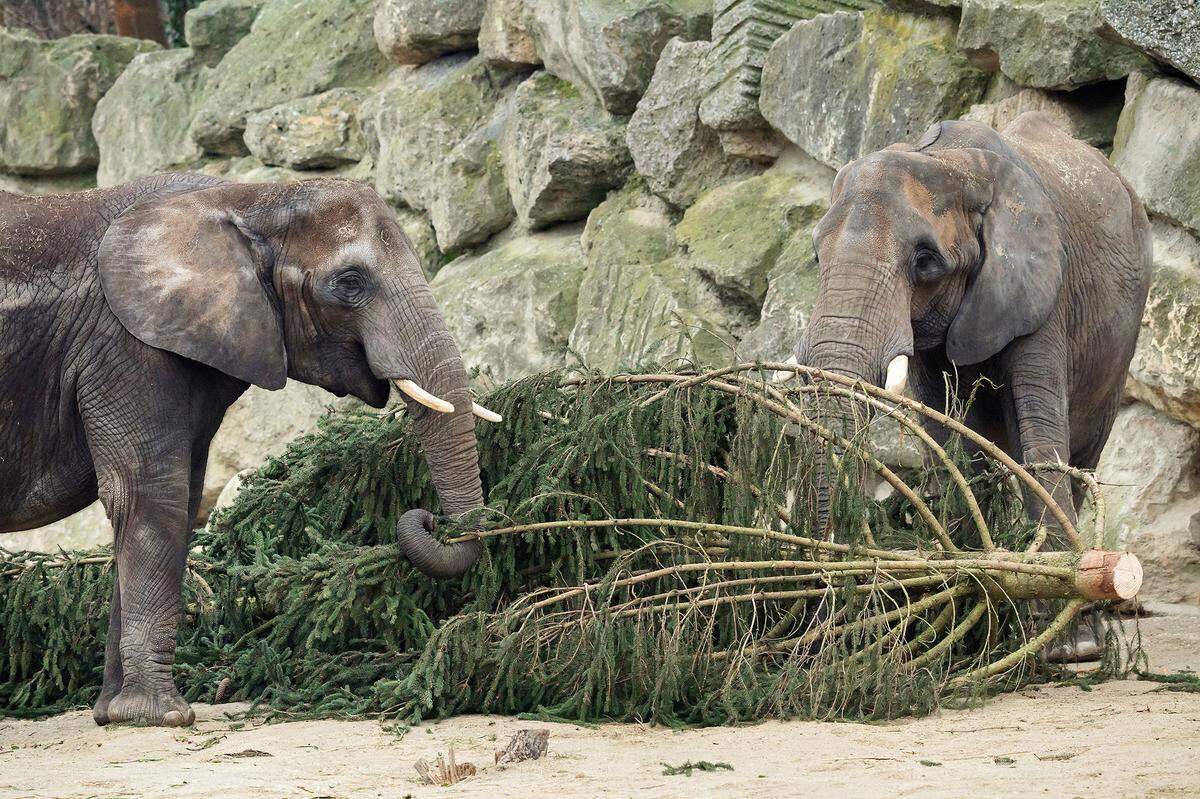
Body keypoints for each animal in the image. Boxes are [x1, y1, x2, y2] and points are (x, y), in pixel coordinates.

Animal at [0, 172, 496, 719]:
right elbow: (151, 494)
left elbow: (180, 498)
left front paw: (114, 716)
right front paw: (160, 717)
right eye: (350, 282)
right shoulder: (122, 344)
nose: (425, 518)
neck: (247, 198)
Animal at [796, 112, 1152, 657]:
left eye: (925, 261)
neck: (950, 163)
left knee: (1081, 453)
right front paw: (964, 610)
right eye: (816, 256)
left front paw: (1066, 648)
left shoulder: (1041, 290)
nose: (821, 628)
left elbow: (1039, 441)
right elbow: (947, 442)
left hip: (1121, 340)